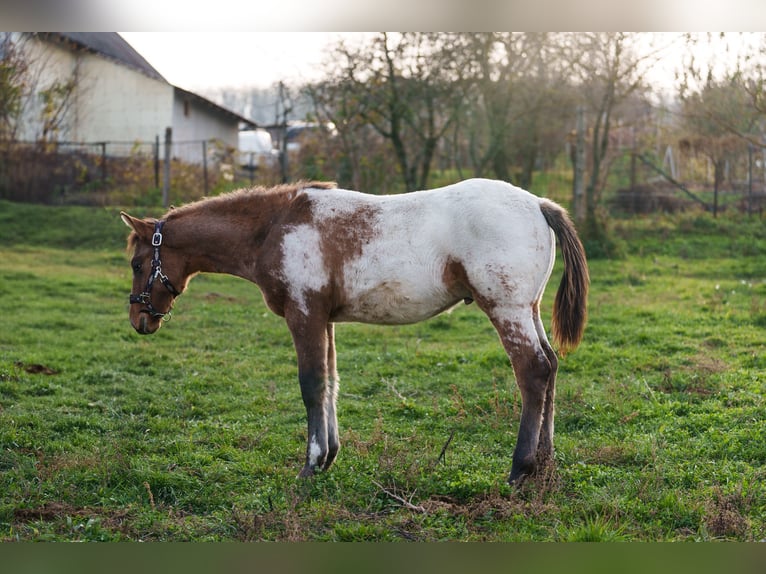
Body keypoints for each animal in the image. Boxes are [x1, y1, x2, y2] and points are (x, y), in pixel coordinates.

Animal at [120, 179, 592, 486]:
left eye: (138, 263)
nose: (140, 319)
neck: (273, 228)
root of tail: (539, 204)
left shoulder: (304, 314)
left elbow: (311, 385)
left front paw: (311, 466)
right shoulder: (324, 318)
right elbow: (330, 384)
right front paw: (328, 457)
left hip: (506, 309)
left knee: (532, 371)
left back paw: (520, 469)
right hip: (528, 310)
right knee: (550, 367)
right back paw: (544, 464)